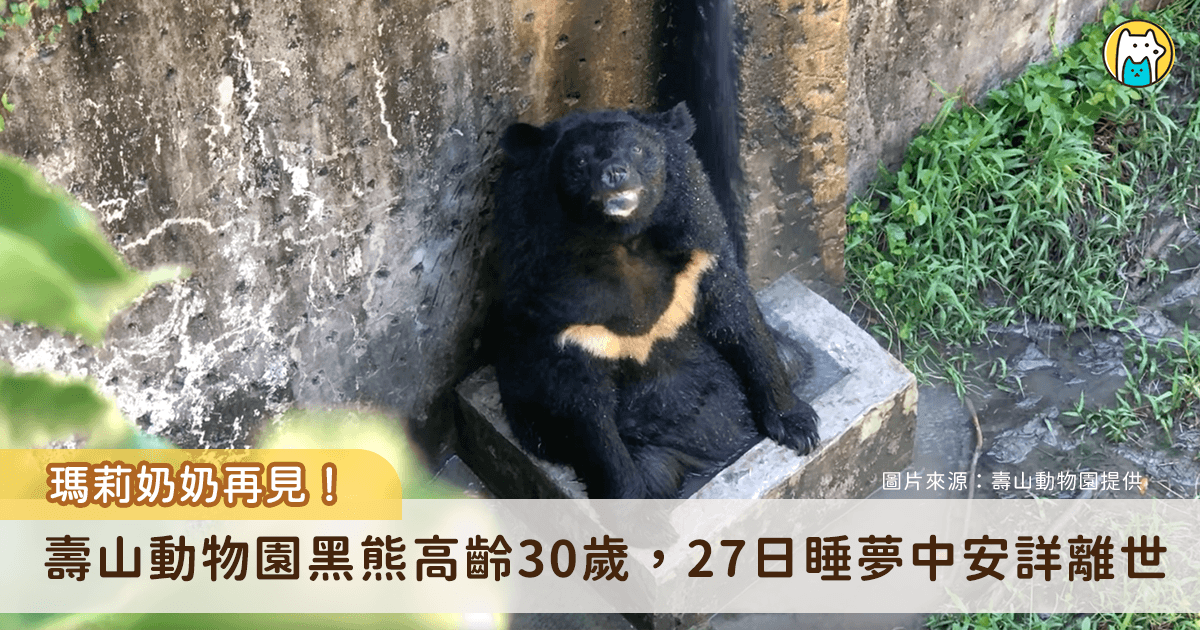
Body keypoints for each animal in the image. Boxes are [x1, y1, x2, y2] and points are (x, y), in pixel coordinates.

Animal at [490, 102, 820, 499]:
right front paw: (629, 498)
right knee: (655, 468)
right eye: (580, 160)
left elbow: (741, 324)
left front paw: (799, 427)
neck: (623, 242)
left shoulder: (698, 253)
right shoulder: (561, 315)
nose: (614, 174)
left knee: (789, 356)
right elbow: (585, 411)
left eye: (637, 150)